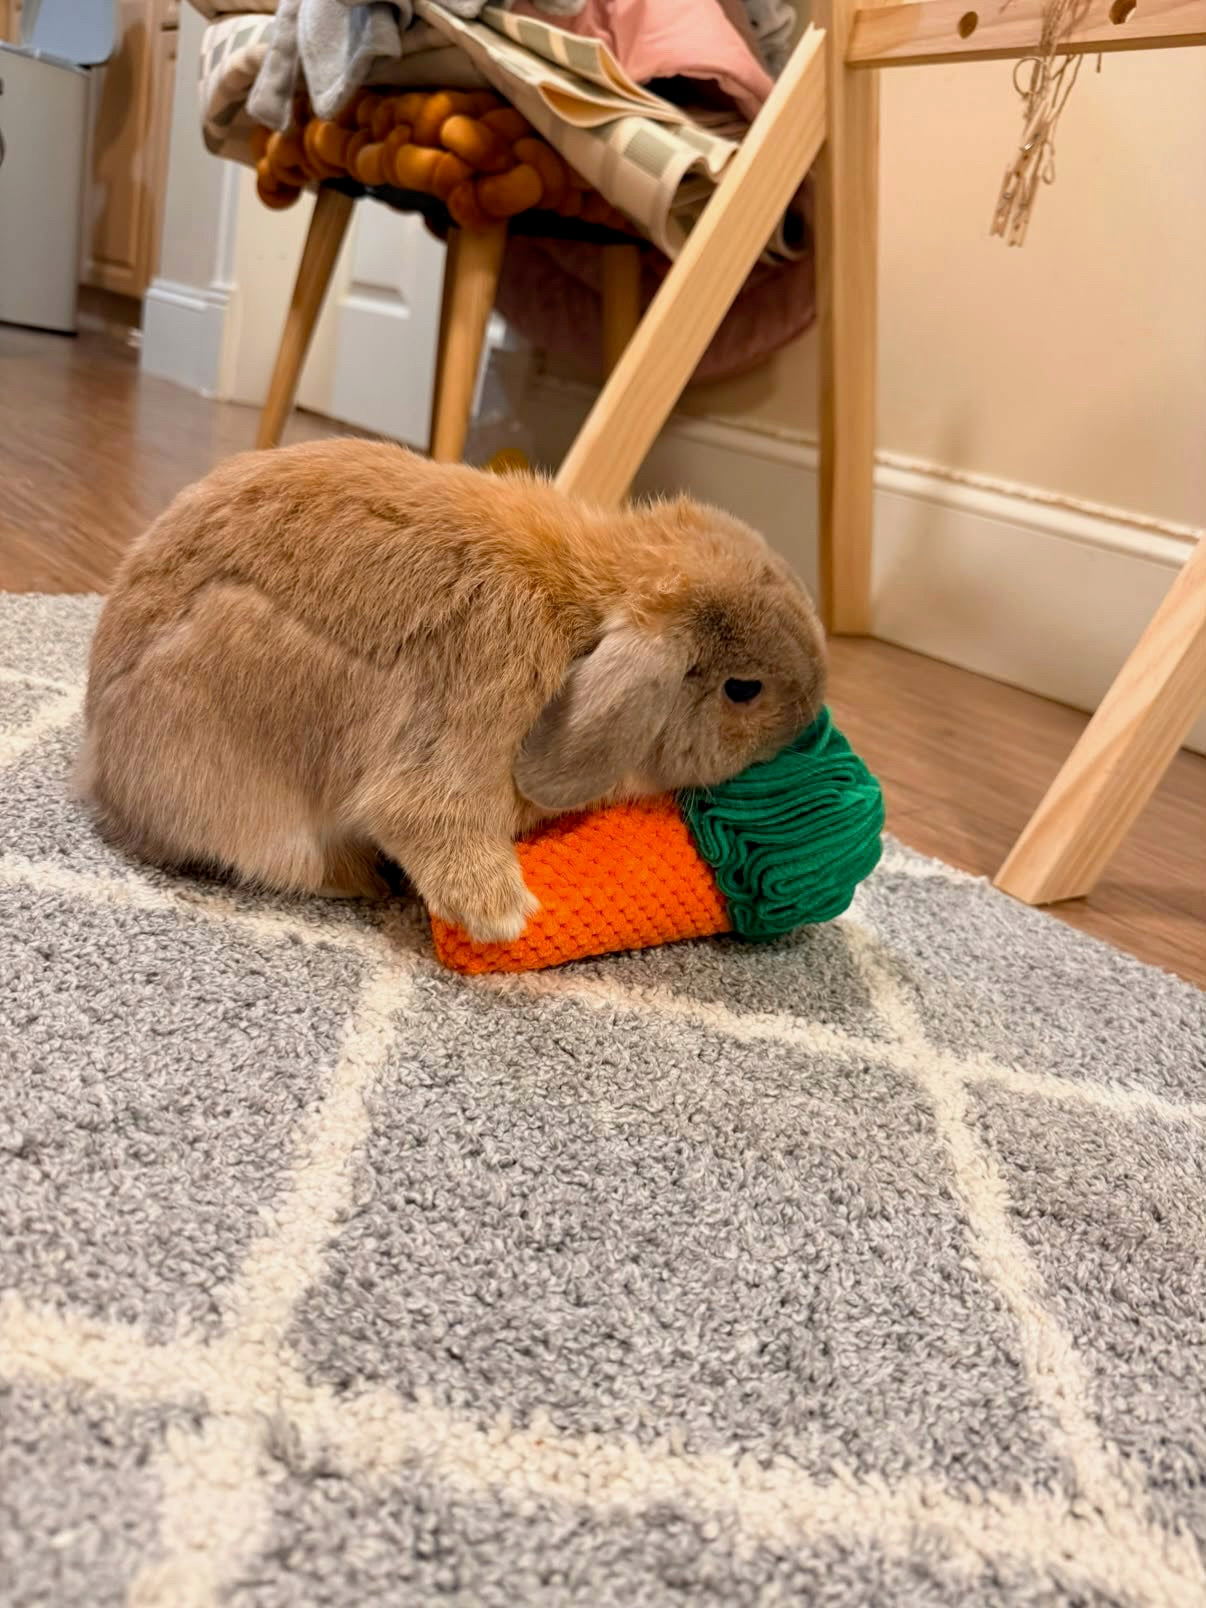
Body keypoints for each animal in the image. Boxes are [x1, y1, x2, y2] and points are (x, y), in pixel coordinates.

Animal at [78, 439, 827, 944]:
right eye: (744, 689)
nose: (809, 717)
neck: (585, 612)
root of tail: (103, 779)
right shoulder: (473, 709)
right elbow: (424, 813)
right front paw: (503, 915)